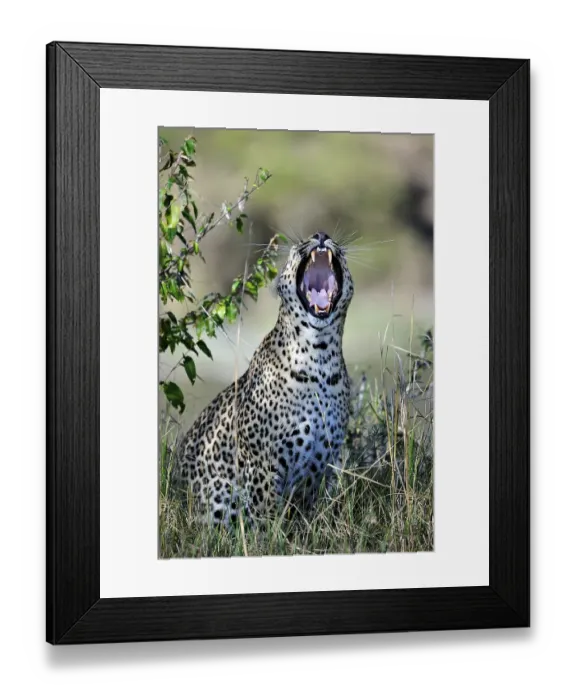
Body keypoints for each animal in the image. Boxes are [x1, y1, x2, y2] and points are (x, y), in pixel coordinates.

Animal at [171, 231, 354, 526]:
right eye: (298, 245)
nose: (321, 235)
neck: (320, 356)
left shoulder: (323, 465)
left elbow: (312, 514)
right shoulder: (263, 465)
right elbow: (265, 515)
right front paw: (269, 534)